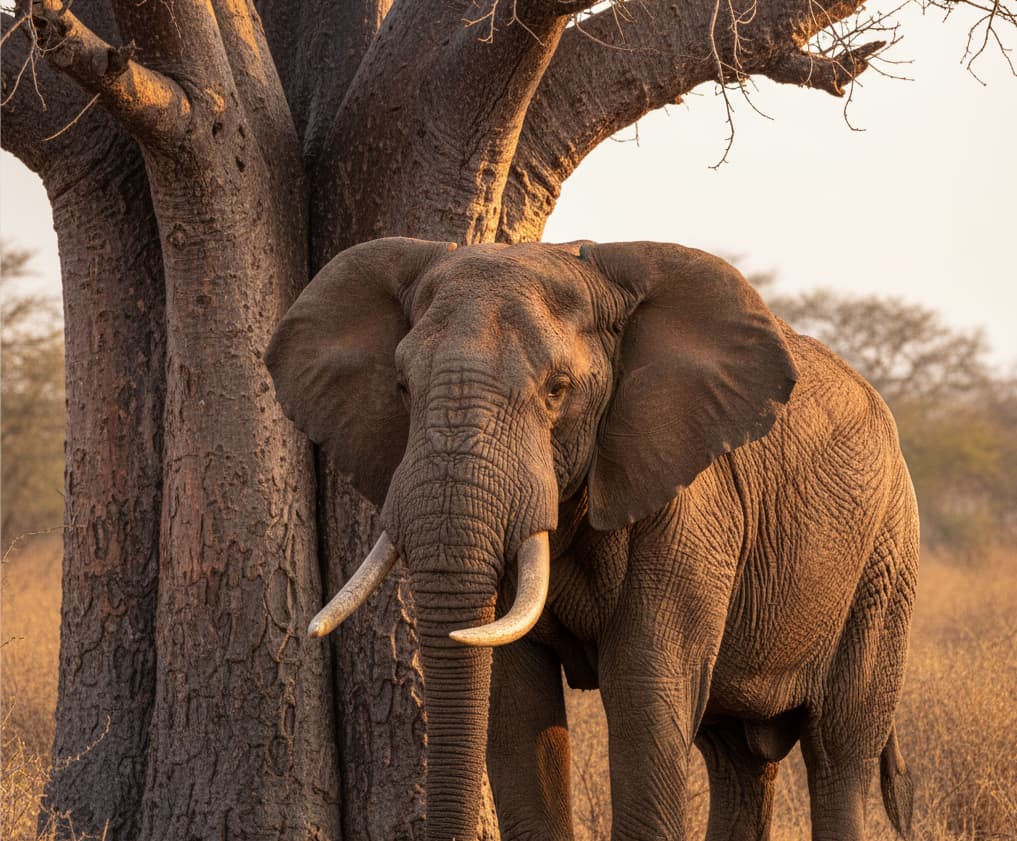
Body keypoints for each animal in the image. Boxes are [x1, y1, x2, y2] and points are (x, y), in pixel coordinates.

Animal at [265, 238, 918, 841]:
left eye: (557, 389)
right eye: (401, 387)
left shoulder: (688, 504)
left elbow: (644, 694)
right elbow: (516, 705)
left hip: (886, 561)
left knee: (839, 754)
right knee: (737, 758)